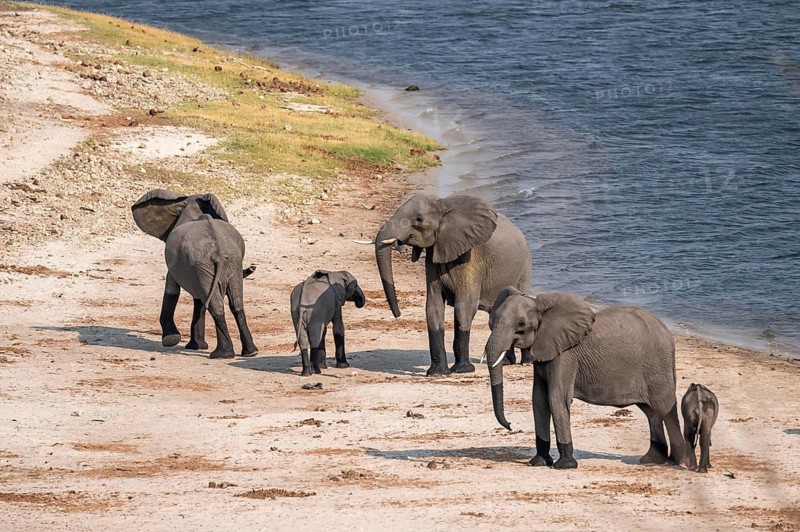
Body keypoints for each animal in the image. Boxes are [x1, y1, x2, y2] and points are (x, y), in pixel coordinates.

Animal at [131, 189, 258, 359]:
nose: (253, 266)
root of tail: (218, 252)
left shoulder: (178, 262)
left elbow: (172, 289)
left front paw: (172, 340)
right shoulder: (194, 269)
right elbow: (198, 298)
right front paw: (196, 346)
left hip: (208, 265)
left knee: (216, 305)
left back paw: (221, 354)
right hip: (229, 265)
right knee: (236, 303)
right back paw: (250, 352)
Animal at [371, 194, 532, 376]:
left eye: (419, 219)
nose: (398, 314)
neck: (442, 205)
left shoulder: (470, 258)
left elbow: (464, 307)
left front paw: (462, 370)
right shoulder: (433, 255)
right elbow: (433, 308)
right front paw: (437, 373)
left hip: (524, 270)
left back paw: (524, 362)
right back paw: (505, 362)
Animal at [483, 287, 689, 469]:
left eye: (520, 325)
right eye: (492, 321)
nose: (510, 425)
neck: (541, 307)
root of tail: (668, 333)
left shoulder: (566, 355)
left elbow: (556, 399)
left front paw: (565, 465)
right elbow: (539, 400)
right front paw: (538, 462)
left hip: (658, 366)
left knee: (665, 408)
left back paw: (680, 462)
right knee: (651, 412)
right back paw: (651, 460)